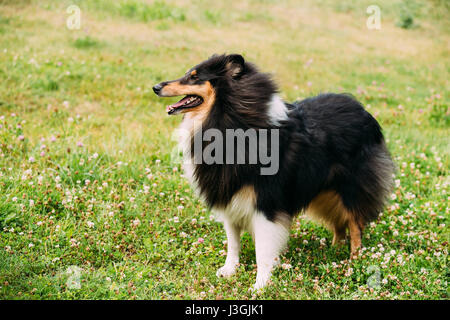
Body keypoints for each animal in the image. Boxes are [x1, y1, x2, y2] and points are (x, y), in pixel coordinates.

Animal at [152, 53, 394, 290]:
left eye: (194, 77)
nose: (155, 87)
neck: (227, 120)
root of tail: (362, 109)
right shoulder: (228, 196)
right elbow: (233, 242)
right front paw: (229, 271)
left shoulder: (265, 203)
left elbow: (263, 252)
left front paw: (260, 286)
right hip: (324, 192)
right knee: (339, 223)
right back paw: (335, 250)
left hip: (350, 187)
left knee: (355, 223)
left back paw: (354, 260)